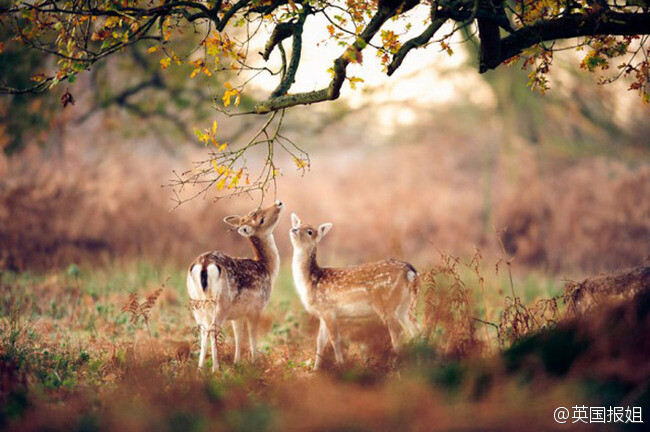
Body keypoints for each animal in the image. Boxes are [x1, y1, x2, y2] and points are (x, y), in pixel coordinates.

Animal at [185, 201, 280, 370]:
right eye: (261, 219)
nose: (278, 203)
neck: (267, 268)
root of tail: (204, 264)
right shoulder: (256, 307)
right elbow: (252, 335)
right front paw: (254, 362)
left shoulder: (238, 314)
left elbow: (238, 335)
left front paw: (237, 362)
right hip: (222, 301)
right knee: (213, 329)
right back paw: (216, 368)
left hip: (196, 302)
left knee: (203, 329)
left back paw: (200, 368)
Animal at [288, 214, 420, 370]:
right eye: (297, 224)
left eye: (309, 232)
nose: (294, 229)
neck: (312, 281)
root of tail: (411, 272)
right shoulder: (321, 313)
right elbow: (320, 341)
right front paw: (316, 370)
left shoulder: (328, 308)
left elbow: (335, 339)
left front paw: (340, 365)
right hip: (404, 305)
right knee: (416, 328)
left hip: (387, 304)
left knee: (399, 333)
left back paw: (395, 366)